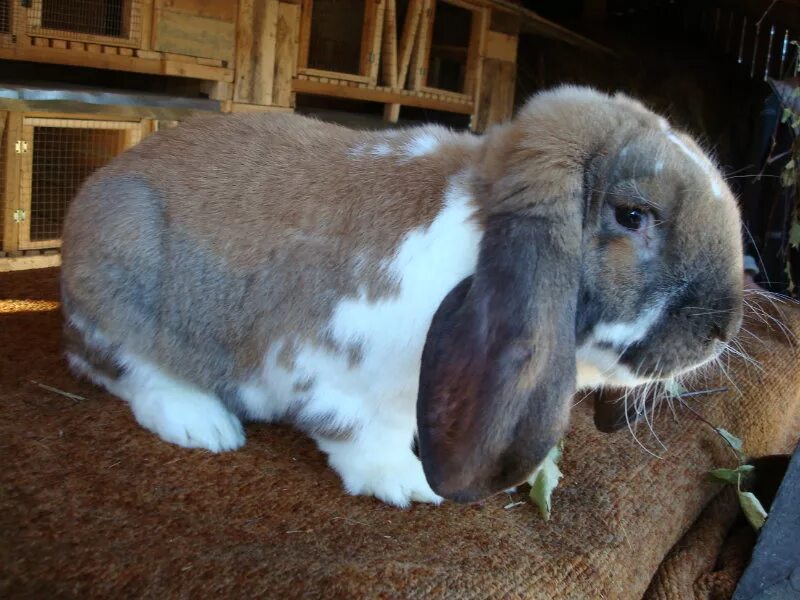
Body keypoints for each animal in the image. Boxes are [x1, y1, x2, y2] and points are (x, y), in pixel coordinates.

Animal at [61, 84, 744, 506]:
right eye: (632, 215)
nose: (722, 330)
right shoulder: (324, 367)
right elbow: (355, 431)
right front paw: (408, 483)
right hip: (120, 276)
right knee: (119, 369)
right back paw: (203, 424)